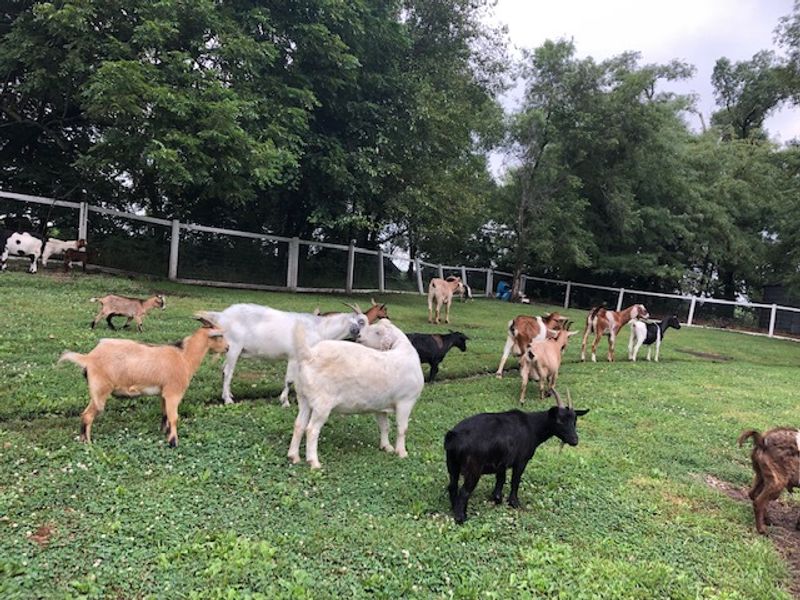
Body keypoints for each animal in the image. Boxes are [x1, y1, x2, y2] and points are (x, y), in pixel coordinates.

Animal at [59, 316, 228, 446]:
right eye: (219, 336)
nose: (227, 347)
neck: (184, 357)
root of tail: (88, 358)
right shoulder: (173, 392)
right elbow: (174, 417)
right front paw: (173, 442)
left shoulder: (163, 393)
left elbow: (165, 414)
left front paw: (164, 432)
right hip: (100, 389)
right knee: (88, 415)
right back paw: (88, 443)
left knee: (84, 414)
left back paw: (83, 440)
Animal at [198, 304, 368, 407]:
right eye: (361, 322)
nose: (362, 336)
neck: (319, 329)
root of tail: (221, 316)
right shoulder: (293, 356)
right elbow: (289, 380)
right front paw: (285, 402)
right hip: (234, 347)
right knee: (228, 371)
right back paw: (227, 400)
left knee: (223, 370)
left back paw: (229, 395)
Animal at [287, 319, 424, 469]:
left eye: (378, 332)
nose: (359, 335)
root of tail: (310, 354)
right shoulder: (406, 401)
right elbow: (402, 428)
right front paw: (402, 452)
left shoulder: (381, 406)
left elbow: (384, 427)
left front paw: (386, 447)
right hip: (322, 403)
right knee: (311, 430)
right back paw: (314, 462)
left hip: (304, 398)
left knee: (299, 425)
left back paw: (293, 456)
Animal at [444, 389, 588, 523]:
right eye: (559, 420)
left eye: (575, 420)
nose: (574, 440)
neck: (532, 426)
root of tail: (453, 436)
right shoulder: (521, 460)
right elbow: (515, 480)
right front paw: (514, 503)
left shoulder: (501, 462)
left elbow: (501, 479)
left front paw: (497, 498)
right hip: (473, 468)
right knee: (464, 491)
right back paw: (461, 518)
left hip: (452, 464)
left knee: (452, 486)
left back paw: (454, 508)